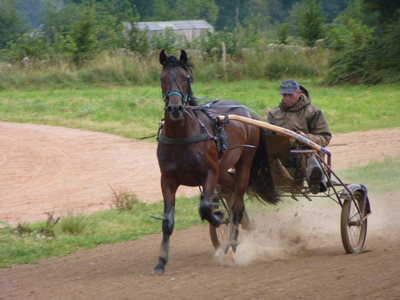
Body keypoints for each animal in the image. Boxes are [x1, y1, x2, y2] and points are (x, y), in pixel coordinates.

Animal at [153, 49, 278, 274]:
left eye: (185, 78)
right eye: (162, 79)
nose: (175, 108)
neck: (182, 136)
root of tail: (247, 112)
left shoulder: (209, 173)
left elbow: (204, 207)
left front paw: (217, 216)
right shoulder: (167, 179)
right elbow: (167, 221)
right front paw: (161, 261)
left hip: (244, 163)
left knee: (237, 205)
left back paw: (232, 243)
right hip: (223, 171)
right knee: (231, 189)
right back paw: (245, 223)